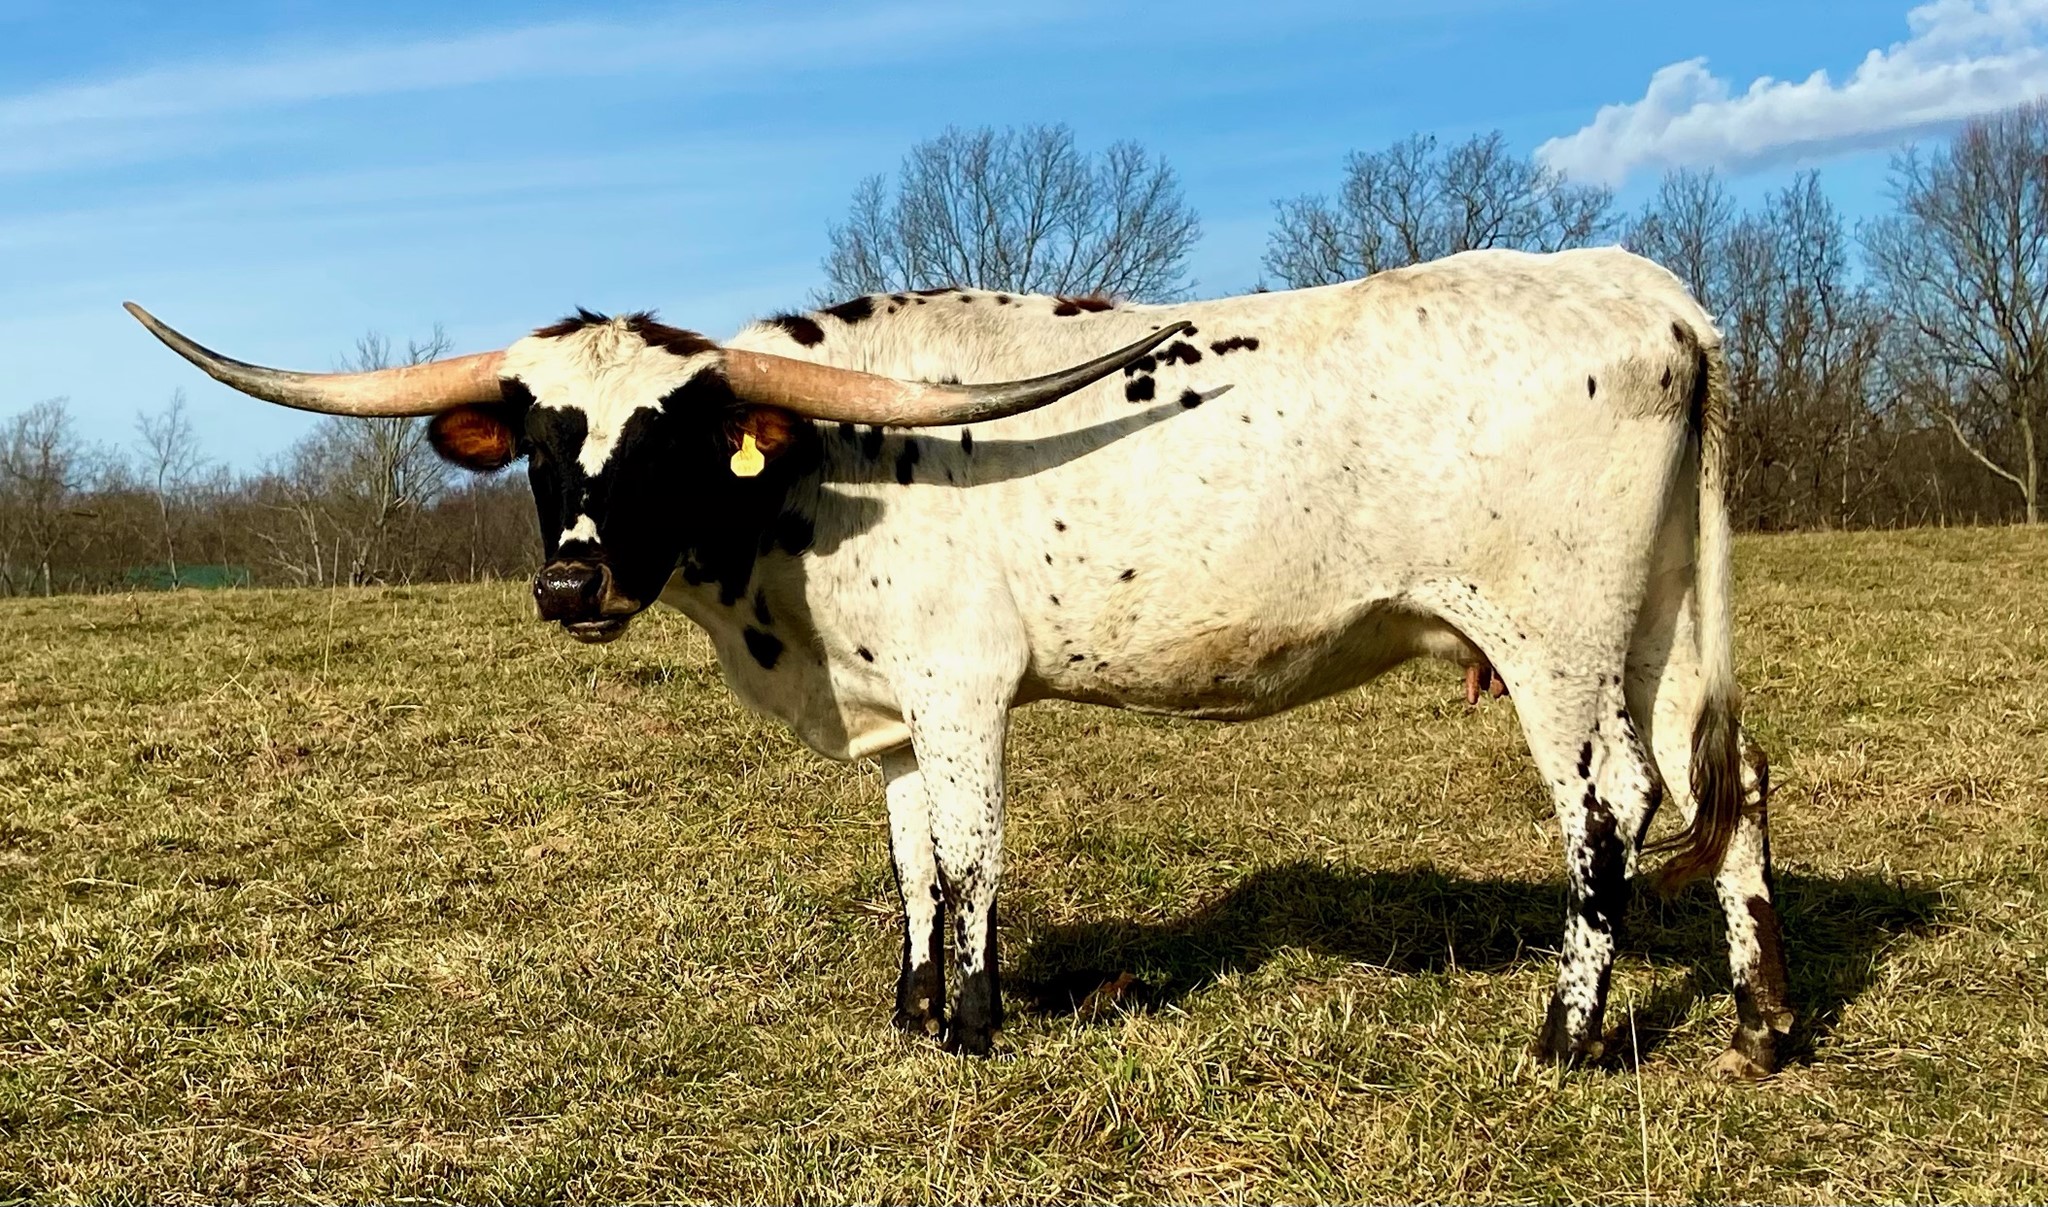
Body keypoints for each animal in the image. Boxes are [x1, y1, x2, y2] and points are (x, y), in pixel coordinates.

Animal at [126, 246, 1793, 1077]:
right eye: (540, 437)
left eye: (671, 435)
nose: (570, 578)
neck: (817, 481)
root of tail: (1650, 290)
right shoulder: (893, 709)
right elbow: (914, 860)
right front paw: (916, 1010)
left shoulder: (964, 686)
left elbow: (977, 853)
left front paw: (981, 1026)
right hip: (1656, 620)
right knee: (1732, 783)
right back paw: (1760, 1024)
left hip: (1552, 635)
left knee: (1606, 806)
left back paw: (1566, 1035)